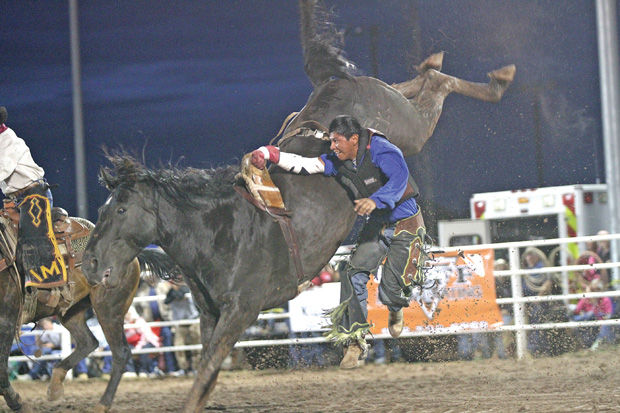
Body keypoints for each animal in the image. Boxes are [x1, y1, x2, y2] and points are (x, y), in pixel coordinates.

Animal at [83, 1, 512, 410]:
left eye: (120, 210)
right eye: (102, 211)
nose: (88, 263)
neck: (221, 230)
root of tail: (337, 80)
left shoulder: (241, 311)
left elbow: (204, 374)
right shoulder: (210, 314)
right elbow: (207, 374)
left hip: (412, 130)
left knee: (436, 88)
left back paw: (495, 81)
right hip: (395, 107)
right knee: (414, 83)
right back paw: (437, 66)